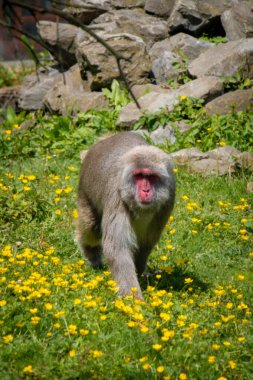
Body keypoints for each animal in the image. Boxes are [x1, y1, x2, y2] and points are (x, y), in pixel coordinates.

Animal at [76, 132, 175, 298]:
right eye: (139, 176)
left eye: (151, 177)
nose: (146, 190)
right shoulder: (116, 196)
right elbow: (117, 247)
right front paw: (134, 297)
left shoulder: (167, 201)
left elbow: (146, 242)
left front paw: (140, 272)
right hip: (85, 189)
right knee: (91, 227)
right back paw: (92, 256)